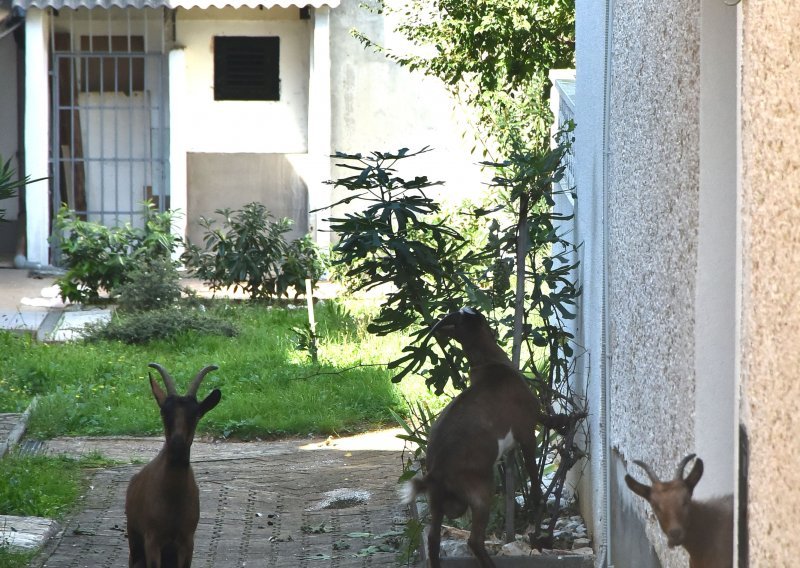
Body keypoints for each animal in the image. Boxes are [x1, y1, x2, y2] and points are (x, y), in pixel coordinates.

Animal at [126, 364, 223, 568]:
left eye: (195, 415)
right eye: (164, 412)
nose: (177, 443)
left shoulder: (187, 540)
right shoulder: (152, 538)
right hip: (135, 542)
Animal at [406, 308, 552, 568]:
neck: (488, 362)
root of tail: (436, 471)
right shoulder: (527, 431)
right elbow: (534, 471)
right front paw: (538, 501)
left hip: (436, 502)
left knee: (433, 538)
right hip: (482, 493)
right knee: (474, 540)